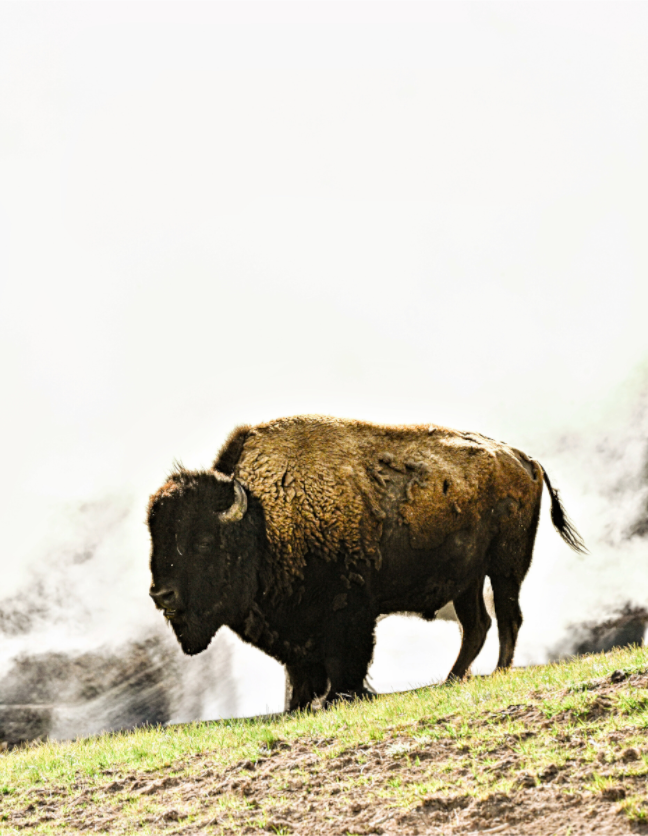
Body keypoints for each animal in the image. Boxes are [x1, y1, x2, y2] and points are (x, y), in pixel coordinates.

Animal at [148, 415, 585, 709]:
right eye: (156, 537)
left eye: (203, 541)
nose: (161, 595)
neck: (263, 518)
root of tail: (526, 459)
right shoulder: (295, 629)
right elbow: (300, 671)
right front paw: (299, 706)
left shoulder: (348, 614)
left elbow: (344, 662)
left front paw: (339, 698)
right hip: (468, 579)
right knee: (477, 624)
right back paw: (451, 679)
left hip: (506, 566)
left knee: (509, 617)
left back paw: (497, 671)